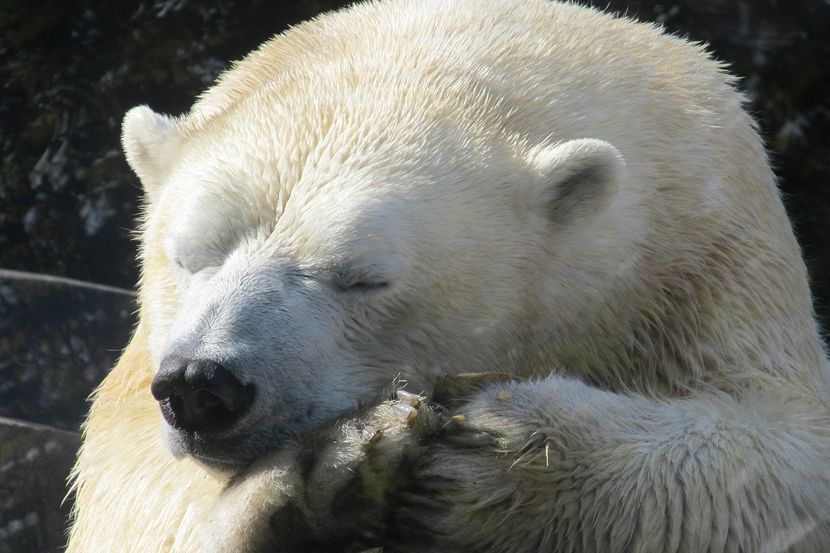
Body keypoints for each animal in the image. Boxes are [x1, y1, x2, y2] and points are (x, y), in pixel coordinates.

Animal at [68, 0, 830, 548]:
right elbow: (125, 500)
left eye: (362, 278)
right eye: (190, 255)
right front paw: (317, 475)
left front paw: (496, 457)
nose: (203, 386)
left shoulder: (707, 256)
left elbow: (783, 451)